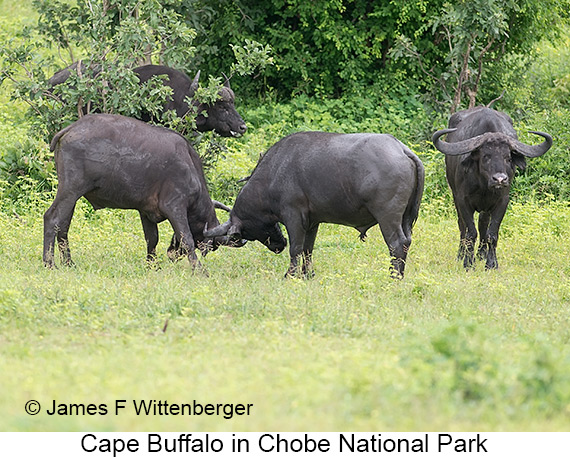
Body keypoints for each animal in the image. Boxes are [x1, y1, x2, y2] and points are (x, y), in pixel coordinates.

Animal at [43, 115, 240, 270]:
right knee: (51, 218)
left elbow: (152, 239)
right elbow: (187, 239)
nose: (172, 254)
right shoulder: (175, 207)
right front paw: (199, 270)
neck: (189, 167)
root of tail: (71, 128)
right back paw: (50, 264)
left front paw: (153, 266)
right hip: (70, 190)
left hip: (72, 196)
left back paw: (69, 263)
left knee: (63, 226)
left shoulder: (146, 211)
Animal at [203, 130, 422, 276]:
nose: (279, 244)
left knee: (396, 243)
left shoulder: (293, 217)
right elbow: (308, 248)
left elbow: (296, 248)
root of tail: (402, 150)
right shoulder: (312, 222)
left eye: (246, 232)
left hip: (388, 216)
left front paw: (290, 274)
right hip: (406, 218)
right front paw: (307, 274)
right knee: (406, 242)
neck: (275, 172)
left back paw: (393, 276)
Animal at [430, 106, 552, 270]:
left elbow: (492, 234)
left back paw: (481, 254)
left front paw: (491, 264)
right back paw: (461, 254)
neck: (484, 186)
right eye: (486, 156)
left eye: (508, 158)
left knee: (483, 224)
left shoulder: (502, 202)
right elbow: (470, 232)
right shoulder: (462, 200)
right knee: (462, 226)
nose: (500, 179)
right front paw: (468, 263)